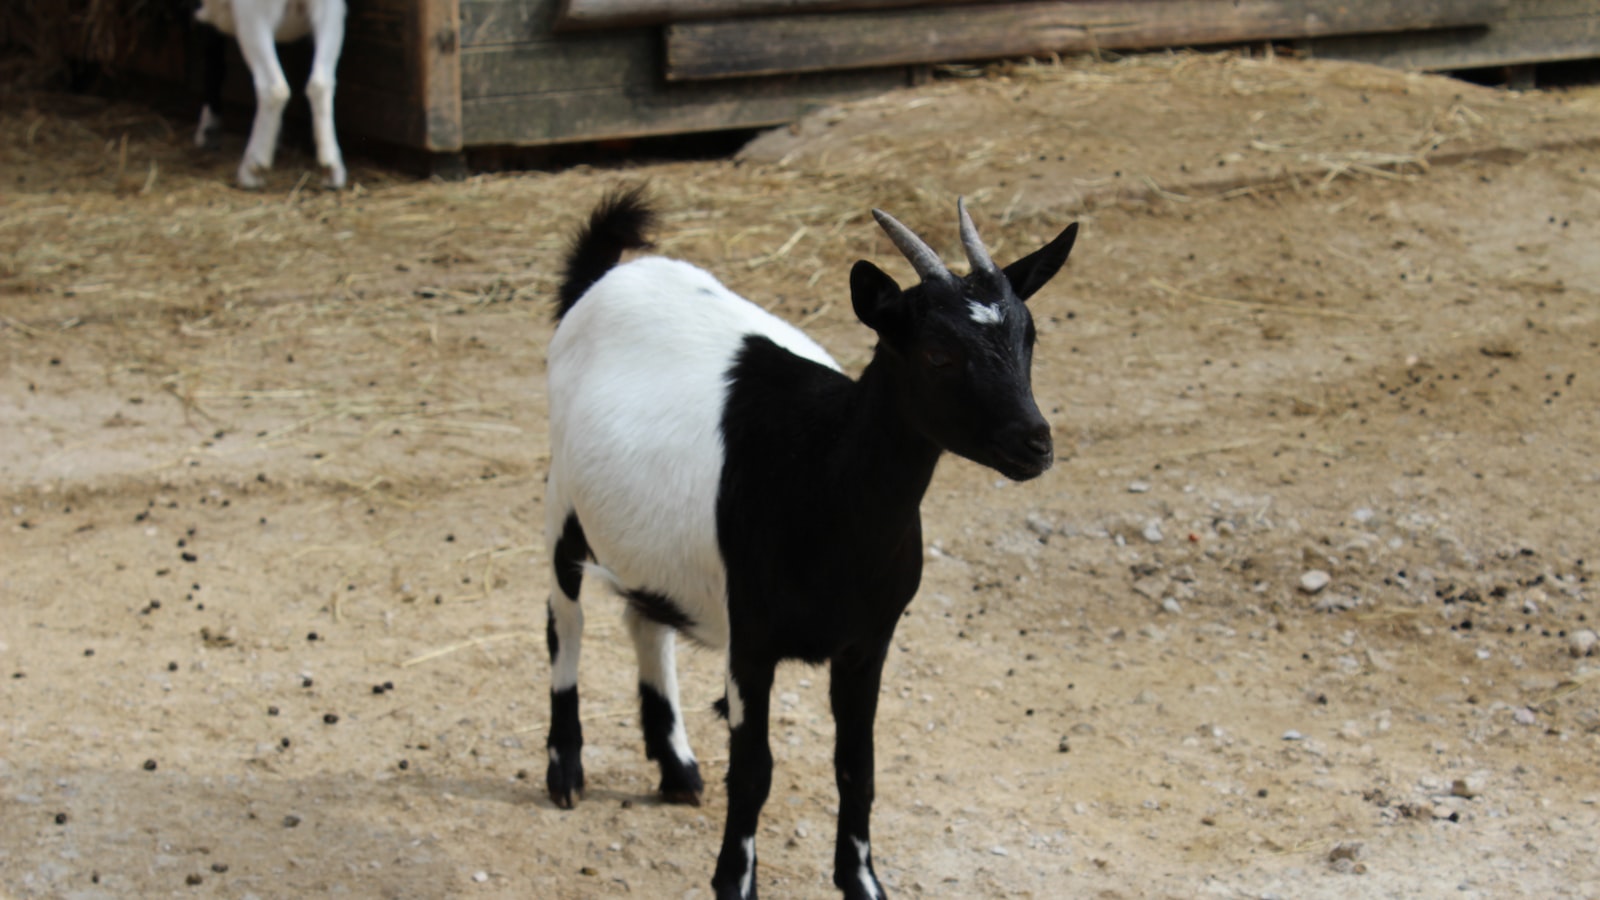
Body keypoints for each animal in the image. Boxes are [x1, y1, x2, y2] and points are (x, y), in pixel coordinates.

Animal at [192, 0, 345, 188]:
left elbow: (213, 64)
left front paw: (207, 129)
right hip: (331, 11)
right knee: (321, 82)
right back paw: (331, 166)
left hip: (253, 14)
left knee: (273, 87)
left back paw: (253, 166)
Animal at [544, 188, 1081, 896]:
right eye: (938, 355)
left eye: (1029, 337)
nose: (1035, 443)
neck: (821, 477)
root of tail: (605, 278)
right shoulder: (751, 642)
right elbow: (754, 772)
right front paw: (734, 881)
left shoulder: (869, 642)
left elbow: (858, 765)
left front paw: (862, 880)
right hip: (561, 495)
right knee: (565, 620)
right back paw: (564, 772)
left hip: (650, 538)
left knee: (646, 619)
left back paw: (677, 768)